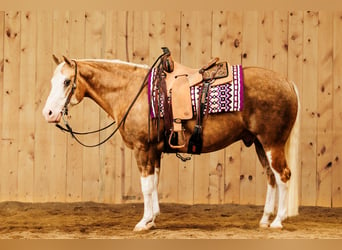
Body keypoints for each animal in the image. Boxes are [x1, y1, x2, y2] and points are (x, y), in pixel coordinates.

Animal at [42, 53, 300, 231]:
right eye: (53, 81)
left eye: (67, 82)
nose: (49, 113)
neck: (132, 91)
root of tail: (288, 82)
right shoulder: (155, 151)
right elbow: (154, 183)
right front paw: (152, 219)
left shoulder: (143, 149)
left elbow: (146, 186)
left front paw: (144, 221)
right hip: (259, 144)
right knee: (271, 177)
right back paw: (265, 219)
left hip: (272, 143)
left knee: (283, 175)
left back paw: (277, 221)